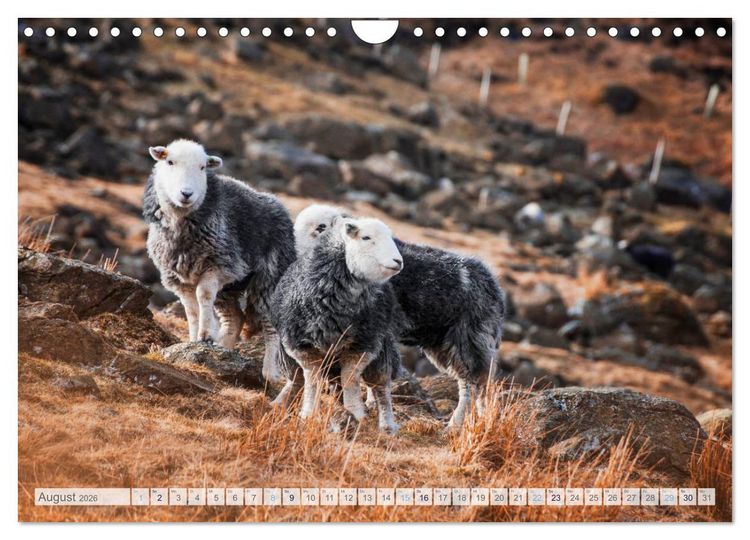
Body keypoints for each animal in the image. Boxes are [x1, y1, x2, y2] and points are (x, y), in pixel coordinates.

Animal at [142, 139, 296, 378]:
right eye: (170, 162)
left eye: (202, 167)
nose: (186, 193)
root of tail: (280, 205)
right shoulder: (178, 278)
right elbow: (191, 309)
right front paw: (194, 338)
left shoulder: (219, 266)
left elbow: (203, 296)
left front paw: (205, 334)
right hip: (230, 288)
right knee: (235, 318)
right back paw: (225, 349)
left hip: (269, 277)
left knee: (270, 325)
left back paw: (270, 372)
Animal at [270, 216, 404, 433]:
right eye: (366, 237)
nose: (398, 262)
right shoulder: (301, 346)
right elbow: (312, 379)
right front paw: (309, 413)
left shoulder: (363, 346)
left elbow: (350, 379)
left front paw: (355, 414)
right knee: (296, 379)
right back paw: (281, 402)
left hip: (382, 348)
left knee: (381, 386)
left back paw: (387, 425)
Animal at [294, 204, 506, 429]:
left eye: (321, 227)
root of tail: (493, 286)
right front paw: (369, 404)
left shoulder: (380, 332)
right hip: (445, 341)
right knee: (477, 383)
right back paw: (479, 417)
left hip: (469, 337)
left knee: (471, 382)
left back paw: (455, 424)